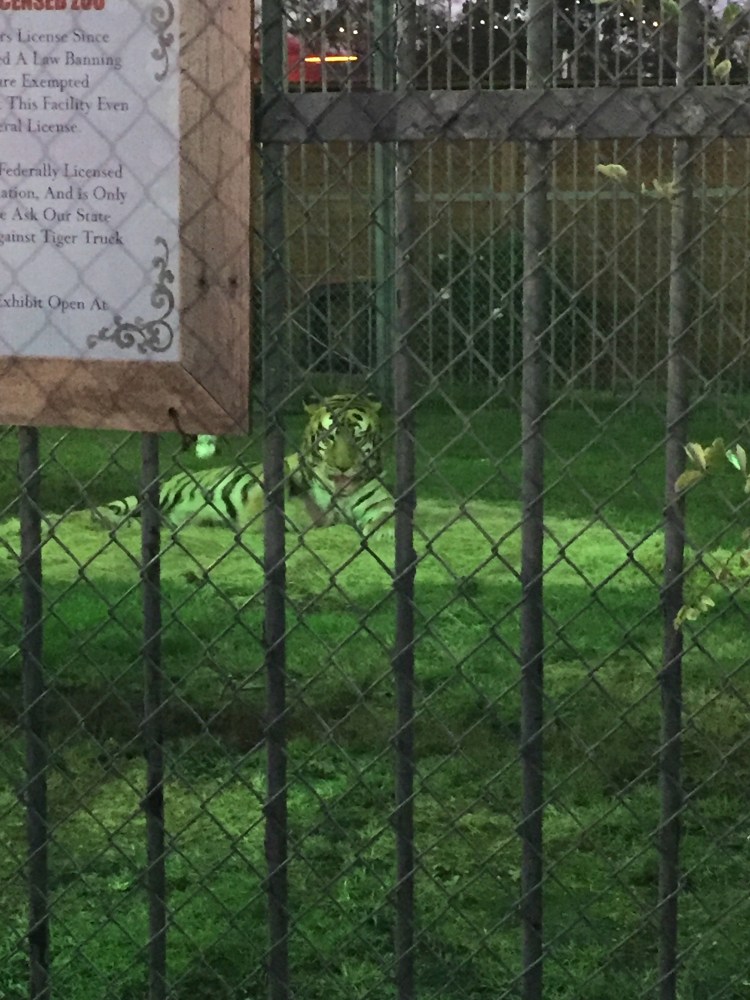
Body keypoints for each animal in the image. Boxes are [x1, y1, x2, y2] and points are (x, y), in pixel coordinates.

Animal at [87, 394, 394, 536]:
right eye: (328, 438)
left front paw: (384, 532)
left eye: (358, 437)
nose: (342, 468)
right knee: (103, 510)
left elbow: (387, 516)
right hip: (154, 495)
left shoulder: (381, 502)